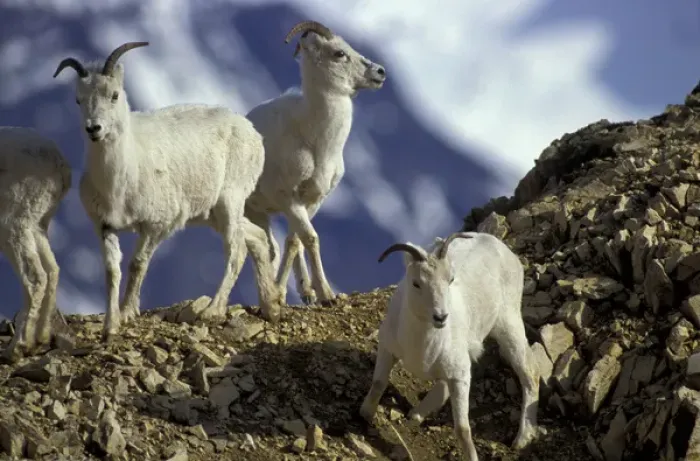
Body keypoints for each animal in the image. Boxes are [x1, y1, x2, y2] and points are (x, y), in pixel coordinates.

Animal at [0, 127, 71, 362]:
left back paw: (18, 348)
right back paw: (40, 339)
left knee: (35, 278)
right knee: (52, 270)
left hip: (13, 226)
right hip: (37, 226)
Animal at [52, 41, 281, 341]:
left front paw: (127, 312)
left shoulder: (157, 226)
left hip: (230, 202)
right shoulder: (104, 226)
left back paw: (212, 311)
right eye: (78, 100)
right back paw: (271, 306)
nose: (94, 129)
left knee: (237, 249)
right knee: (256, 238)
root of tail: (252, 132)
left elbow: (137, 264)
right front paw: (110, 326)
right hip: (213, 214)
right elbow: (112, 271)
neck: (120, 181)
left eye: (114, 95)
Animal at [244, 20, 386, 306]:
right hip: (253, 210)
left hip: (272, 212)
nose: (380, 72)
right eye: (339, 53)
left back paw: (304, 293)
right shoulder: (289, 198)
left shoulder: (313, 201)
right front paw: (325, 295)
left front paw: (309, 293)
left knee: (280, 243)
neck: (319, 145)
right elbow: (310, 239)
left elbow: (296, 242)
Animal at [359, 232, 540, 460]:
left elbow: (462, 429)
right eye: (416, 283)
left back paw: (523, 439)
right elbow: (378, 385)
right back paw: (417, 414)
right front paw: (364, 416)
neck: (421, 348)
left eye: (450, 279)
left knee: (530, 374)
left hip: (509, 328)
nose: (441, 317)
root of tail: (498, 244)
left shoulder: (460, 376)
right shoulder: (387, 349)